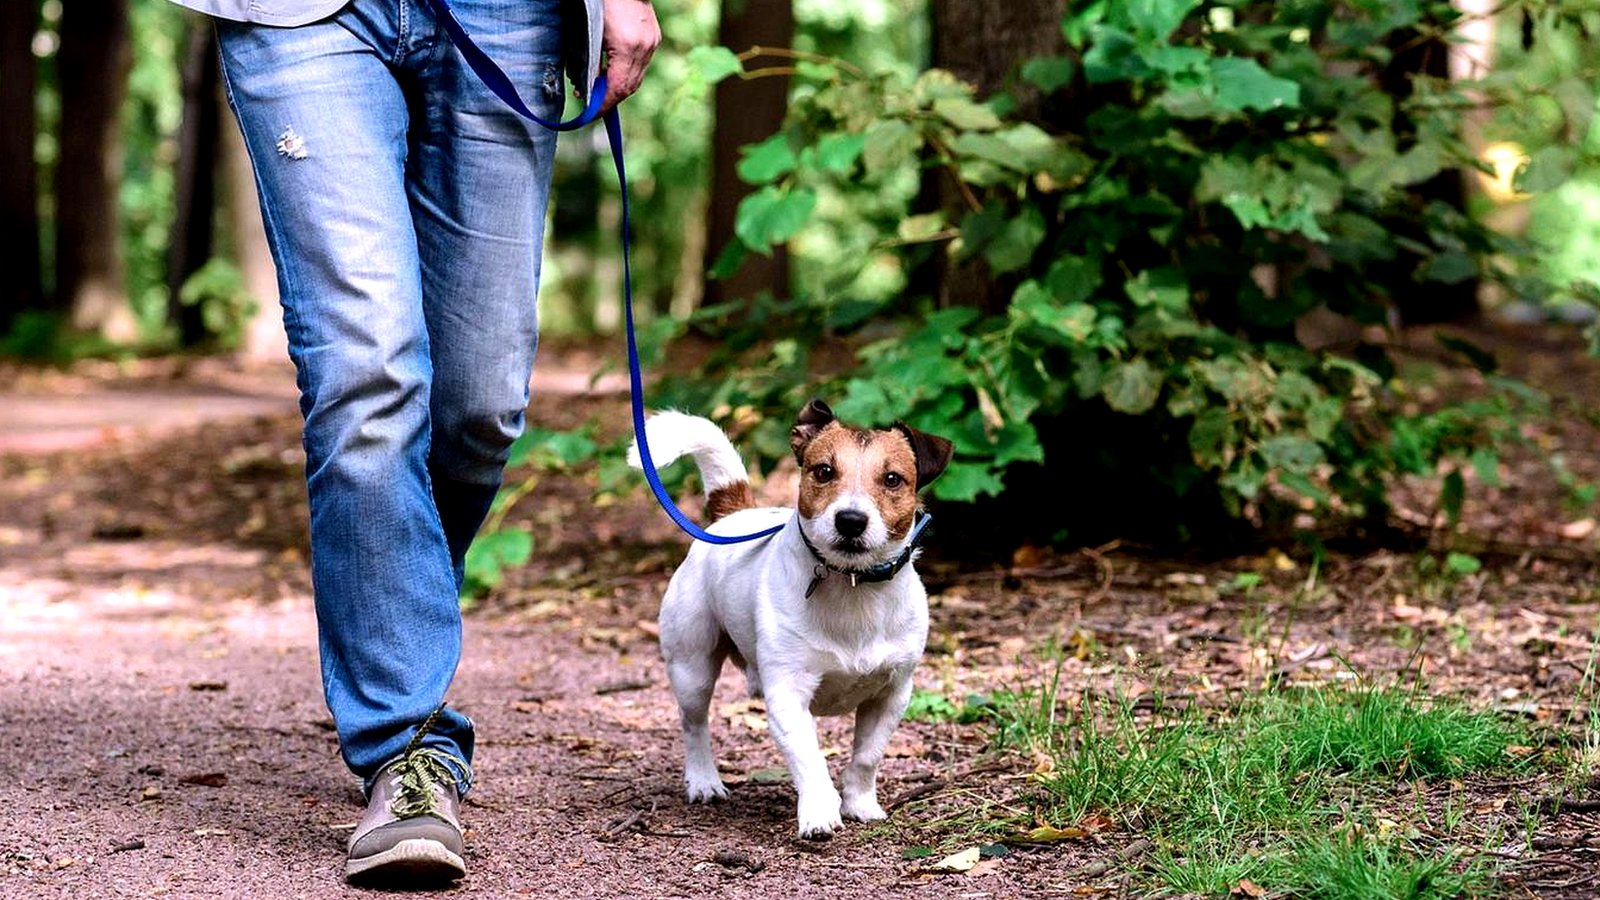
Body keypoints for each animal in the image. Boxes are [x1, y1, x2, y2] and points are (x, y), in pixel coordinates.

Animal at [624, 397, 947, 832]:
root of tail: (733, 514)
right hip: (691, 667)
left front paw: (860, 804)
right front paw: (819, 813)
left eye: (893, 479)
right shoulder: (788, 695)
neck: (852, 586)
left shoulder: (892, 695)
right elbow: (810, 761)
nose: (850, 520)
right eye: (824, 471)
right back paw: (704, 781)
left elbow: (867, 757)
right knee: (694, 724)